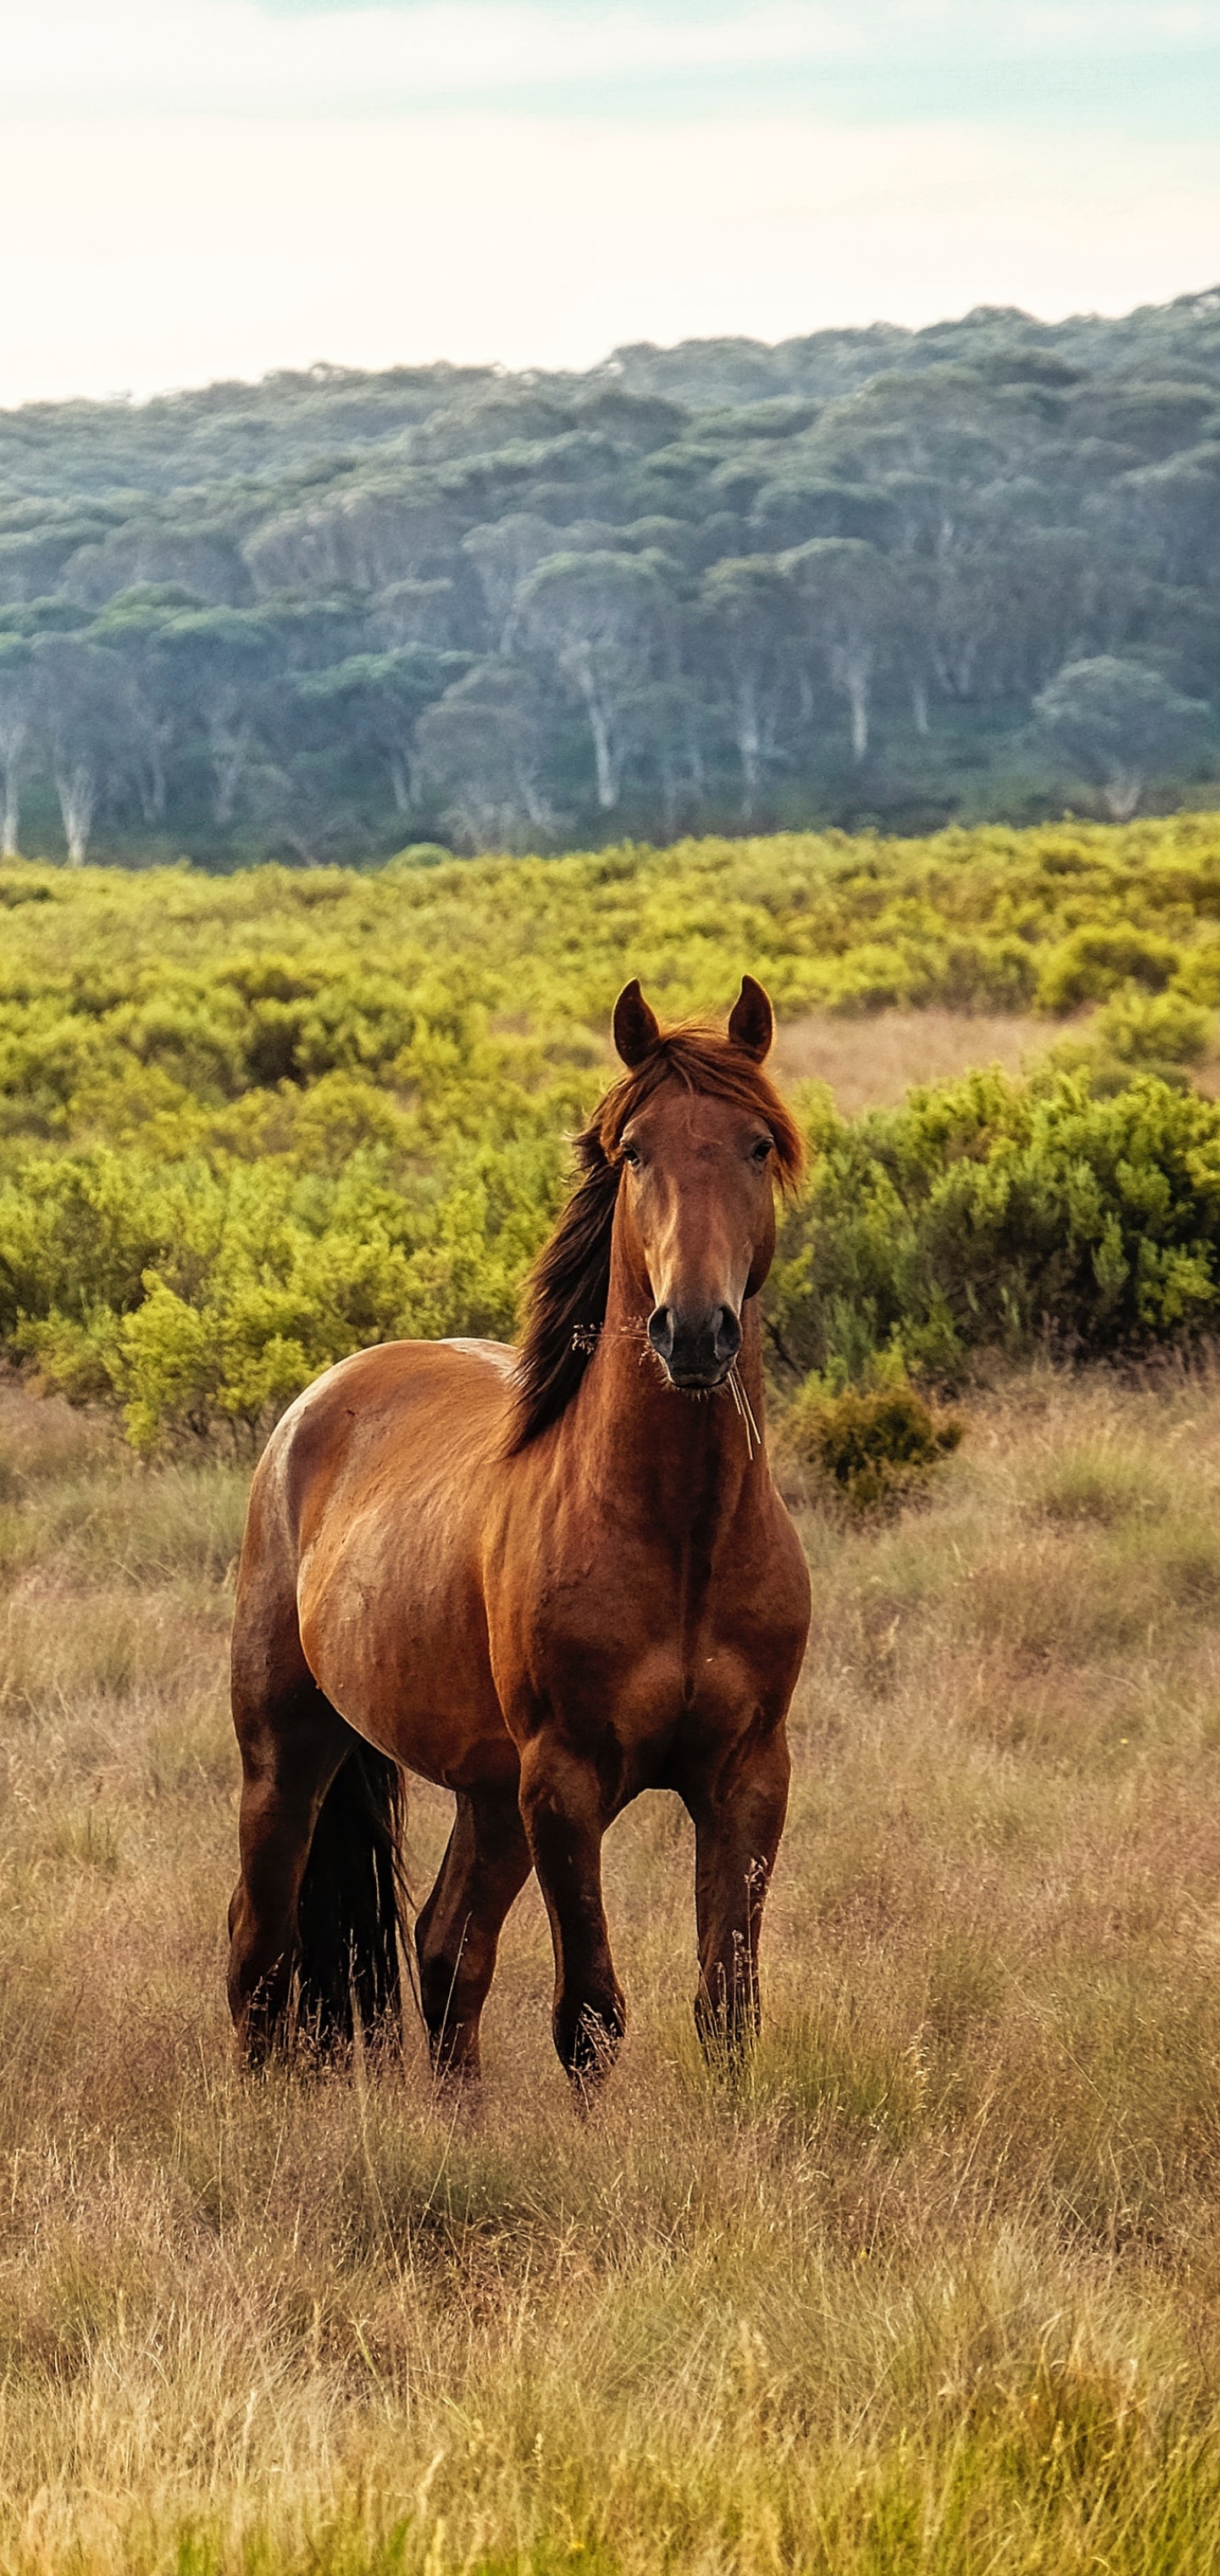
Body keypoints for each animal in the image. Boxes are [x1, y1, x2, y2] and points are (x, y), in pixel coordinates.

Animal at [227, 973, 811, 2085]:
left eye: (757, 1144)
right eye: (636, 1153)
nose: (695, 1331)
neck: (679, 1536)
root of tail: (315, 1403)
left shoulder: (747, 1778)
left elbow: (729, 2007)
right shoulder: (567, 1787)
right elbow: (589, 2016)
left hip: (488, 1794)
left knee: (444, 1949)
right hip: (289, 1754)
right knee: (259, 1949)